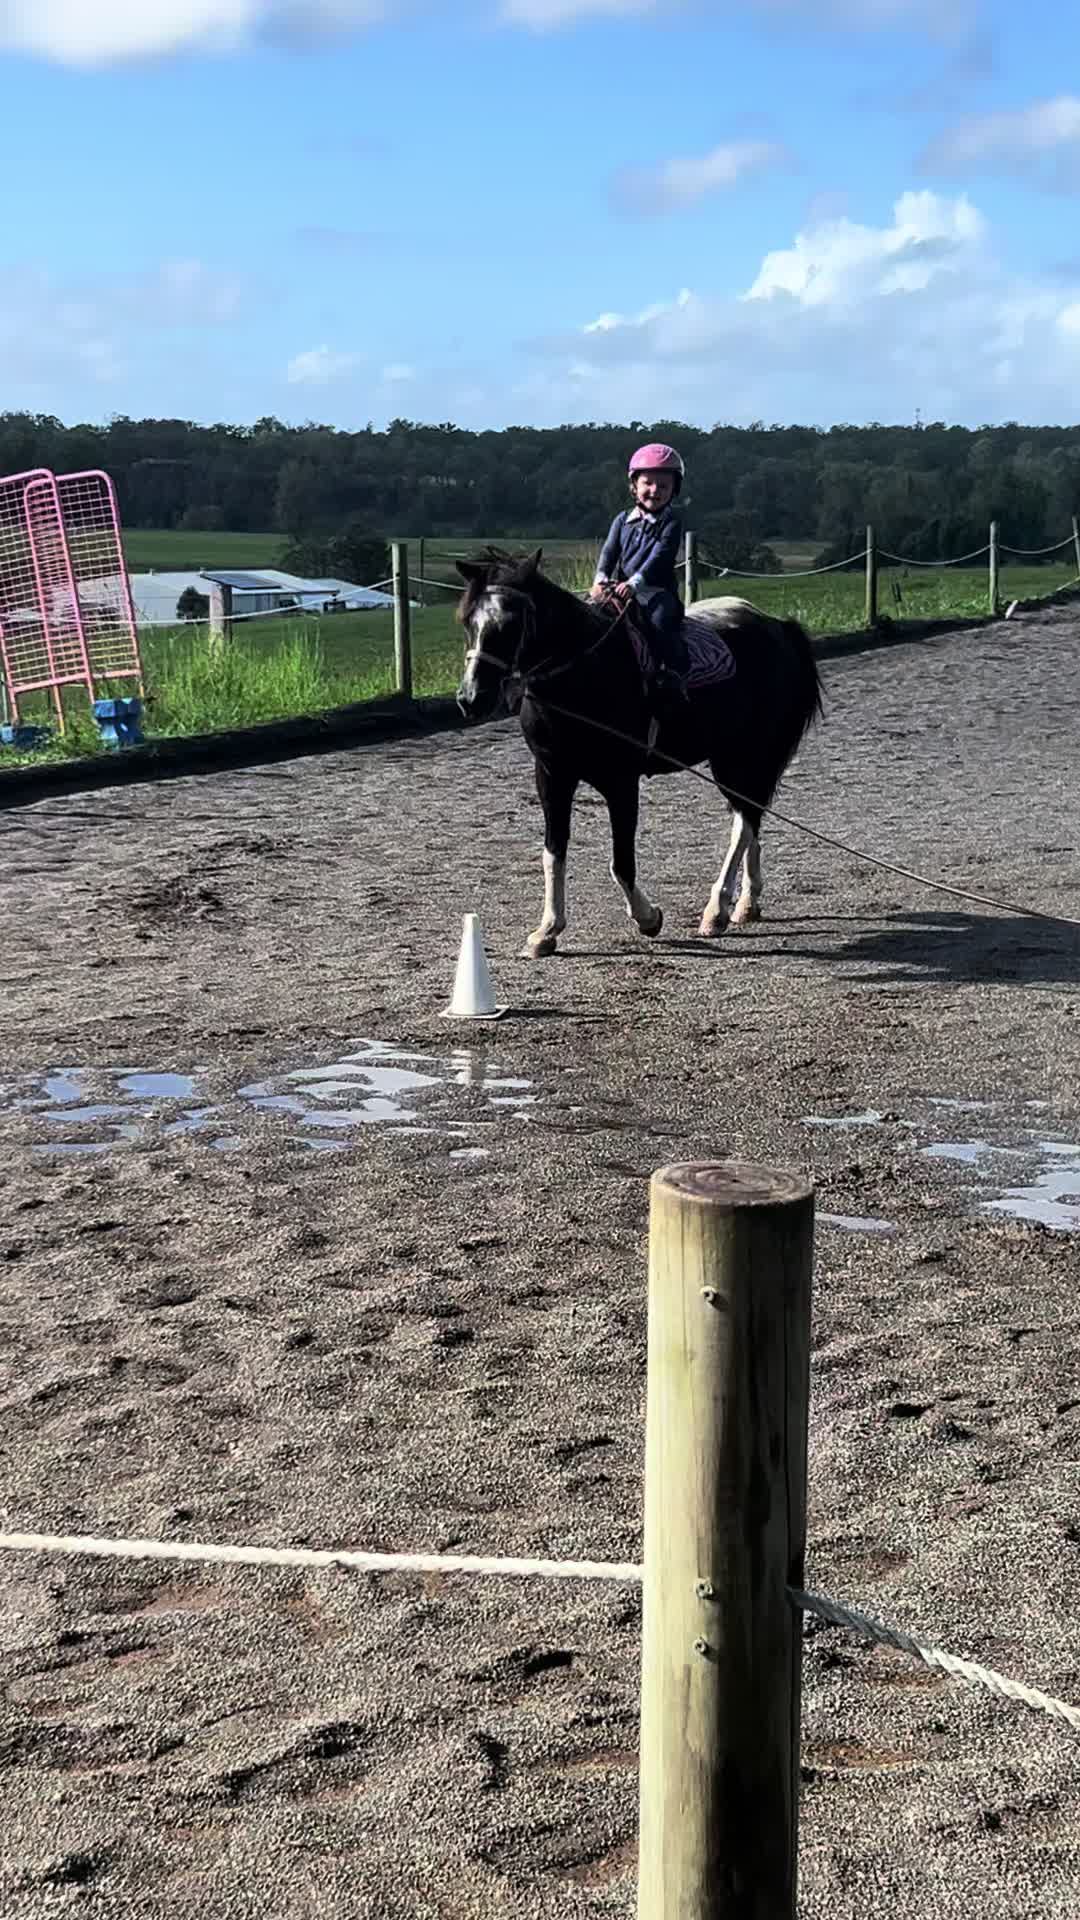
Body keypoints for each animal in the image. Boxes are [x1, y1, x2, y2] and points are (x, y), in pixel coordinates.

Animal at [454, 547, 822, 956]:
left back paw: (717, 911)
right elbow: (554, 852)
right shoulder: (552, 776)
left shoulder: (621, 782)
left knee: (745, 821)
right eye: (469, 620)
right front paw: (546, 931)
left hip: (740, 755)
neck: (584, 672)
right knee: (752, 817)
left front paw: (649, 918)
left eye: (510, 623)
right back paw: (747, 904)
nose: (470, 699)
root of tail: (777, 626)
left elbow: (621, 863)